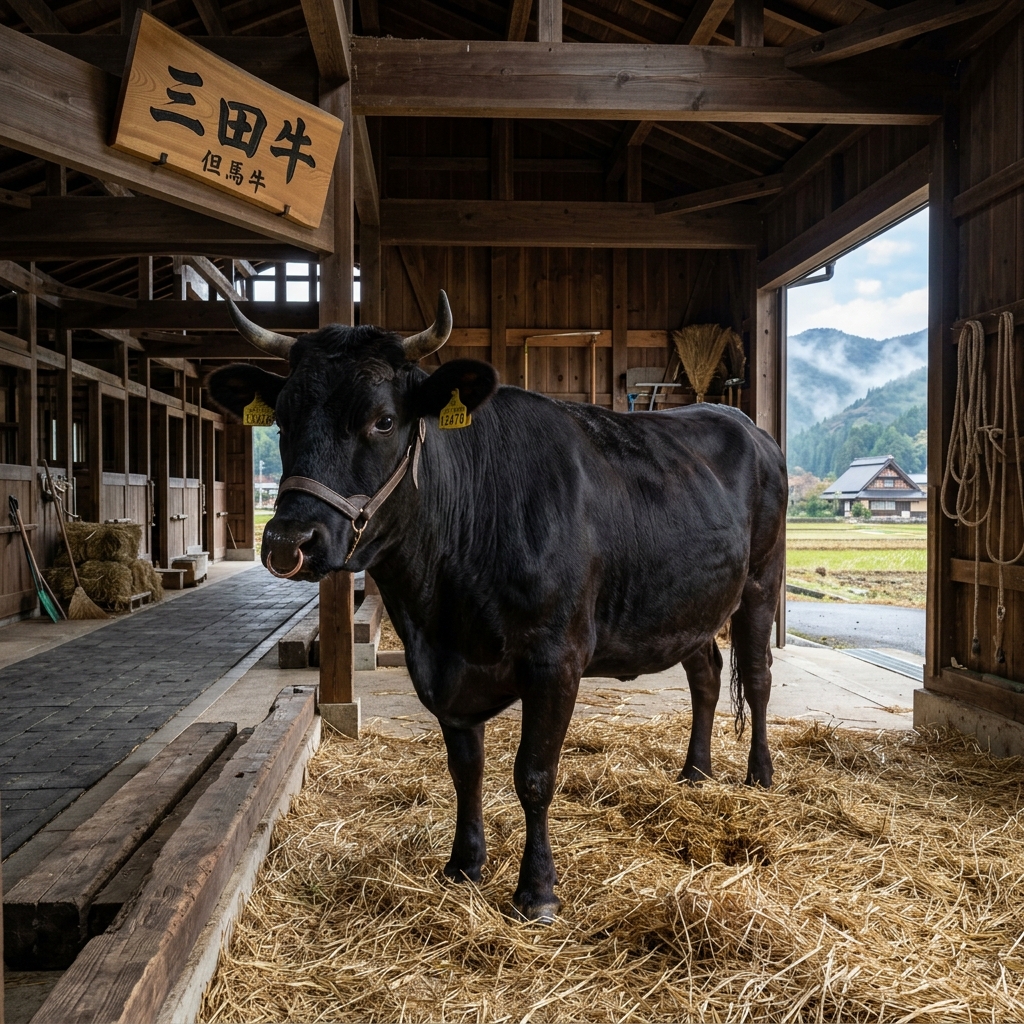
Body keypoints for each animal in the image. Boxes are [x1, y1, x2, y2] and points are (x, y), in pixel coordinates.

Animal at [208, 291, 788, 923]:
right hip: (688, 606)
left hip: (761, 582)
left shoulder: (556, 659)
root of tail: (740, 420)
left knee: (757, 677)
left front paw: (536, 892)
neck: (444, 609)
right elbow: (466, 769)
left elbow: (534, 775)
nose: (288, 542)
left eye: (383, 419)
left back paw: (759, 776)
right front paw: (463, 866)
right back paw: (694, 773)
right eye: (283, 419)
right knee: (706, 673)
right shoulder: (442, 670)